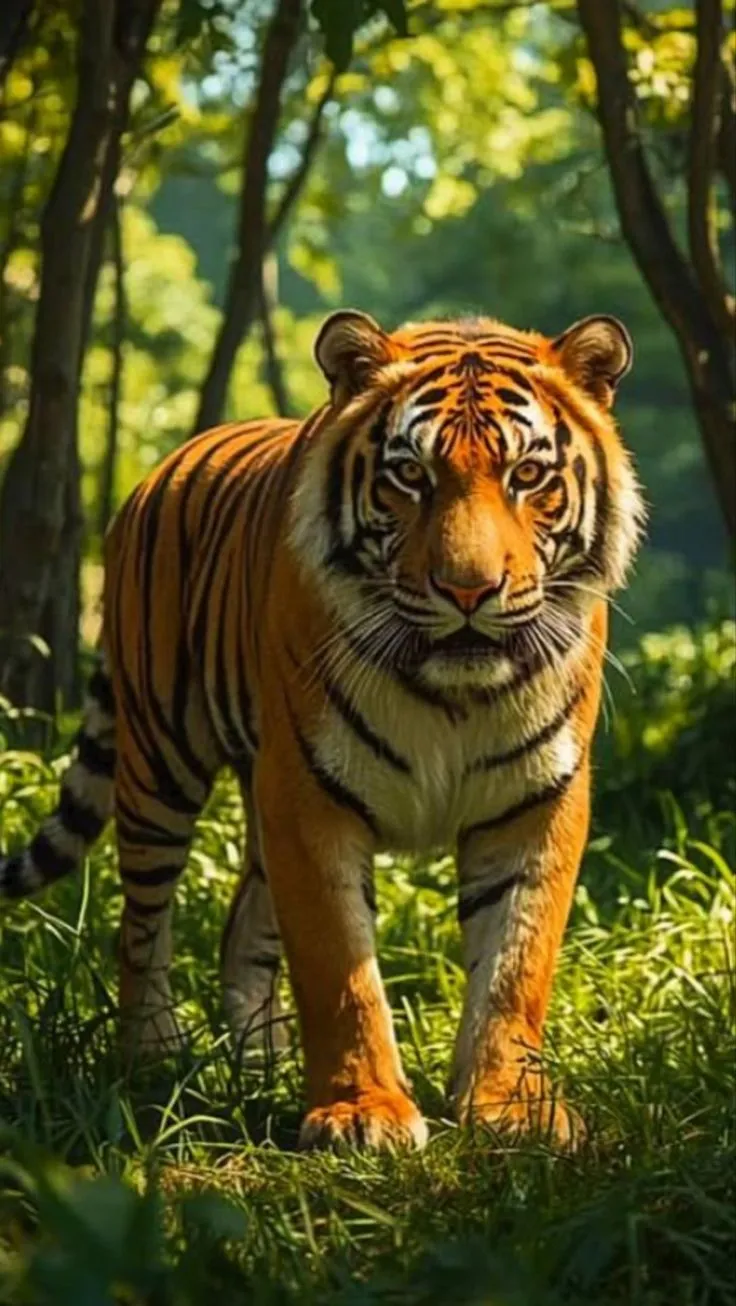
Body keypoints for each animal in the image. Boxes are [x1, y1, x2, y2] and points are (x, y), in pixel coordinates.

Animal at [0, 309, 644, 1151]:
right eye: (411, 476)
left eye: (527, 476)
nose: (468, 590)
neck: (454, 695)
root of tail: (159, 470)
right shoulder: (308, 794)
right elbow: (341, 967)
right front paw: (361, 1112)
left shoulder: (538, 801)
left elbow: (515, 964)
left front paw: (511, 1108)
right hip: (160, 762)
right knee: (140, 923)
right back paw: (152, 1061)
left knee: (241, 924)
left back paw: (260, 1064)